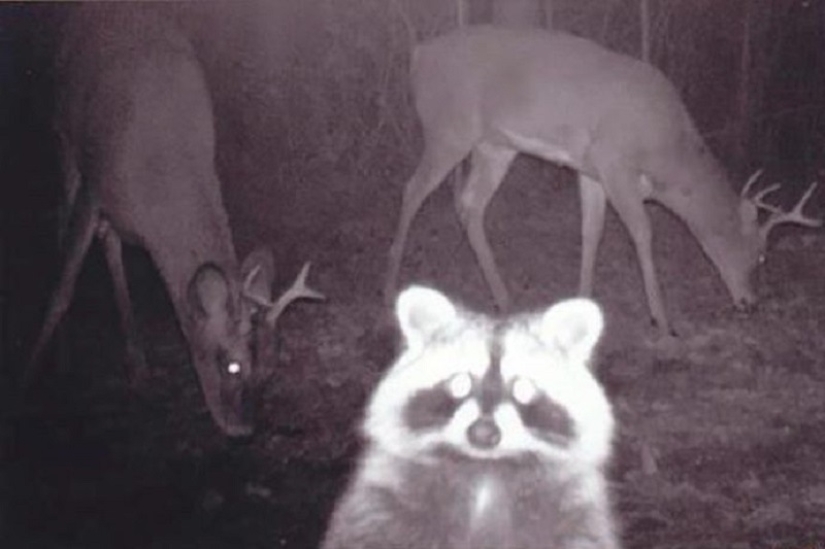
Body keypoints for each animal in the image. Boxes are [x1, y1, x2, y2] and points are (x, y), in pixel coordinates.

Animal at [322, 286, 619, 549]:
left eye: (522, 389)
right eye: (460, 383)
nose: (483, 433)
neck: (485, 468)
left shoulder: (576, 514)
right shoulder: (382, 503)